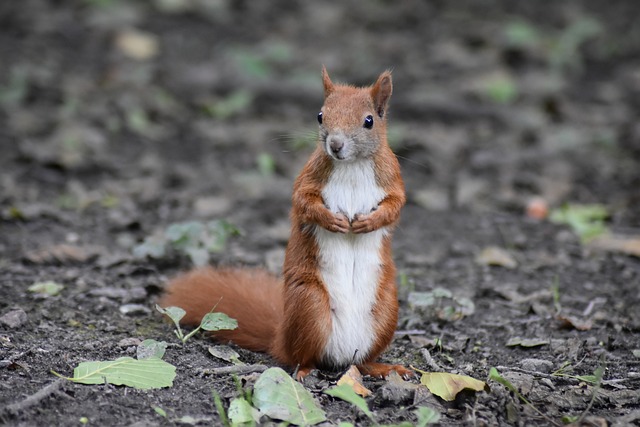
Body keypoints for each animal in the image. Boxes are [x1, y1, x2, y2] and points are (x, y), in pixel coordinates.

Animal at [159, 67, 410, 382]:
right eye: (320, 115)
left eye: (369, 121)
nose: (335, 145)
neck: (352, 165)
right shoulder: (308, 178)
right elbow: (303, 203)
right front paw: (332, 221)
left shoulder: (392, 179)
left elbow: (396, 206)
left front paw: (369, 222)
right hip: (309, 304)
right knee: (303, 355)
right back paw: (304, 370)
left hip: (386, 309)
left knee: (363, 360)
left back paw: (384, 367)